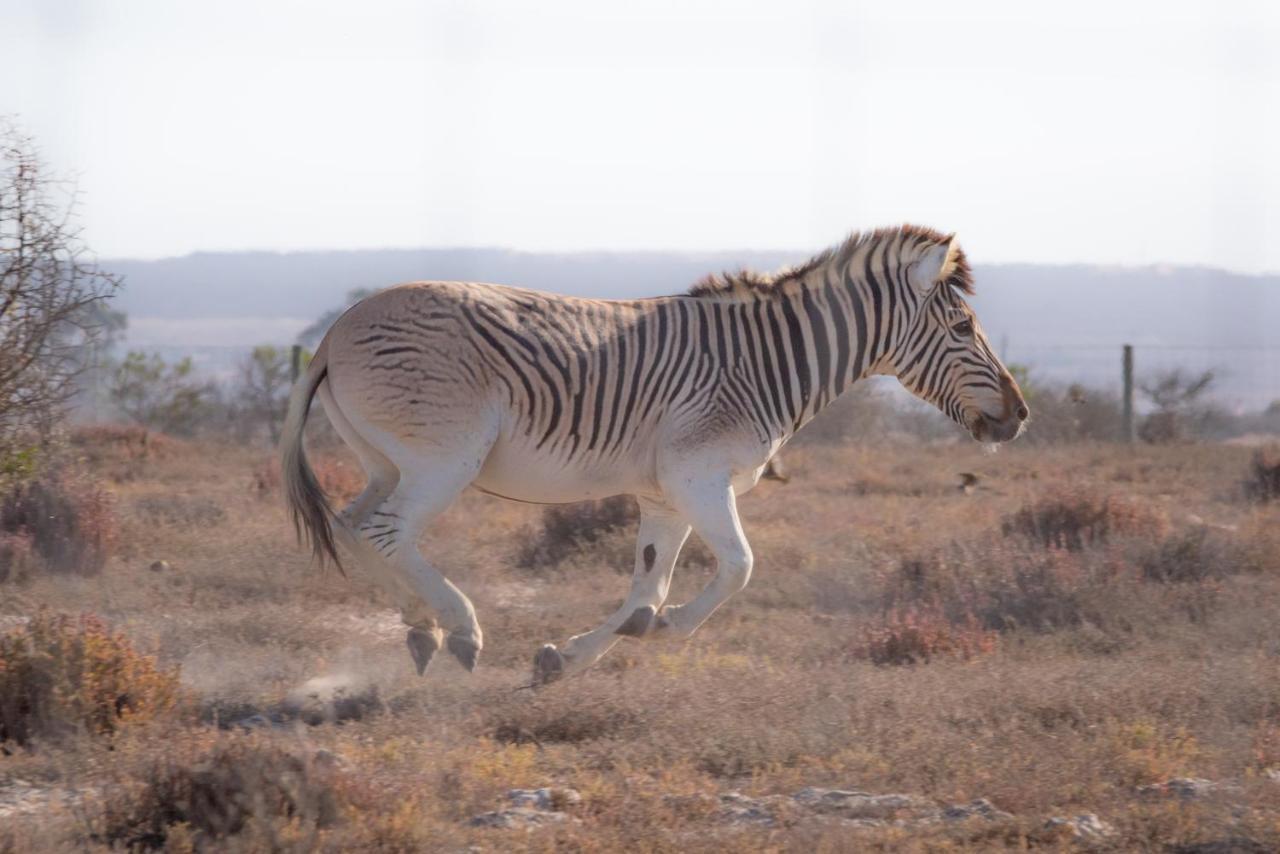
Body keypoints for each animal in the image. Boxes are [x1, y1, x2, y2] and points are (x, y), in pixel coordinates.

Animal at [280, 224, 1029, 686]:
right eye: (962, 327)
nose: (1020, 416)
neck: (766, 362)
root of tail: (338, 331)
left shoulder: (664, 495)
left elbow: (647, 587)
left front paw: (566, 660)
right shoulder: (698, 476)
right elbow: (738, 567)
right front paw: (667, 631)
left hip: (387, 461)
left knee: (357, 525)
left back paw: (420, 630)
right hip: (444, 459)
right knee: (387, 530)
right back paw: (459, 631)